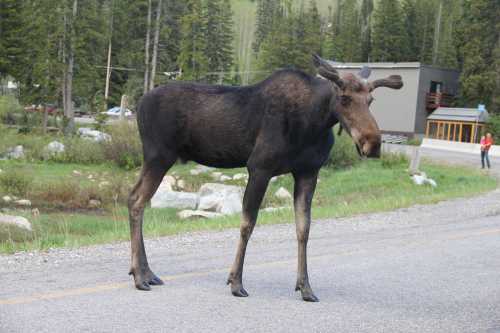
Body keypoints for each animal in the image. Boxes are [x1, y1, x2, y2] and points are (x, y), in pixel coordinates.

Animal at [128, 54, 402, 300]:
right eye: (344, 98)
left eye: (370, 99)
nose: (372, 144)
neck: (313, 124)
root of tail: (139, 105)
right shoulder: (260, 168)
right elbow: (247, 224)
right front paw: (236, 282)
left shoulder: (308, 172)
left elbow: (303, 228)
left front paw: (305, 287)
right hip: (158, 155)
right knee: (137, 200)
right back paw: (140, 276)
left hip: (157, 158)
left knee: (133, 197)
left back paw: (145, 272)